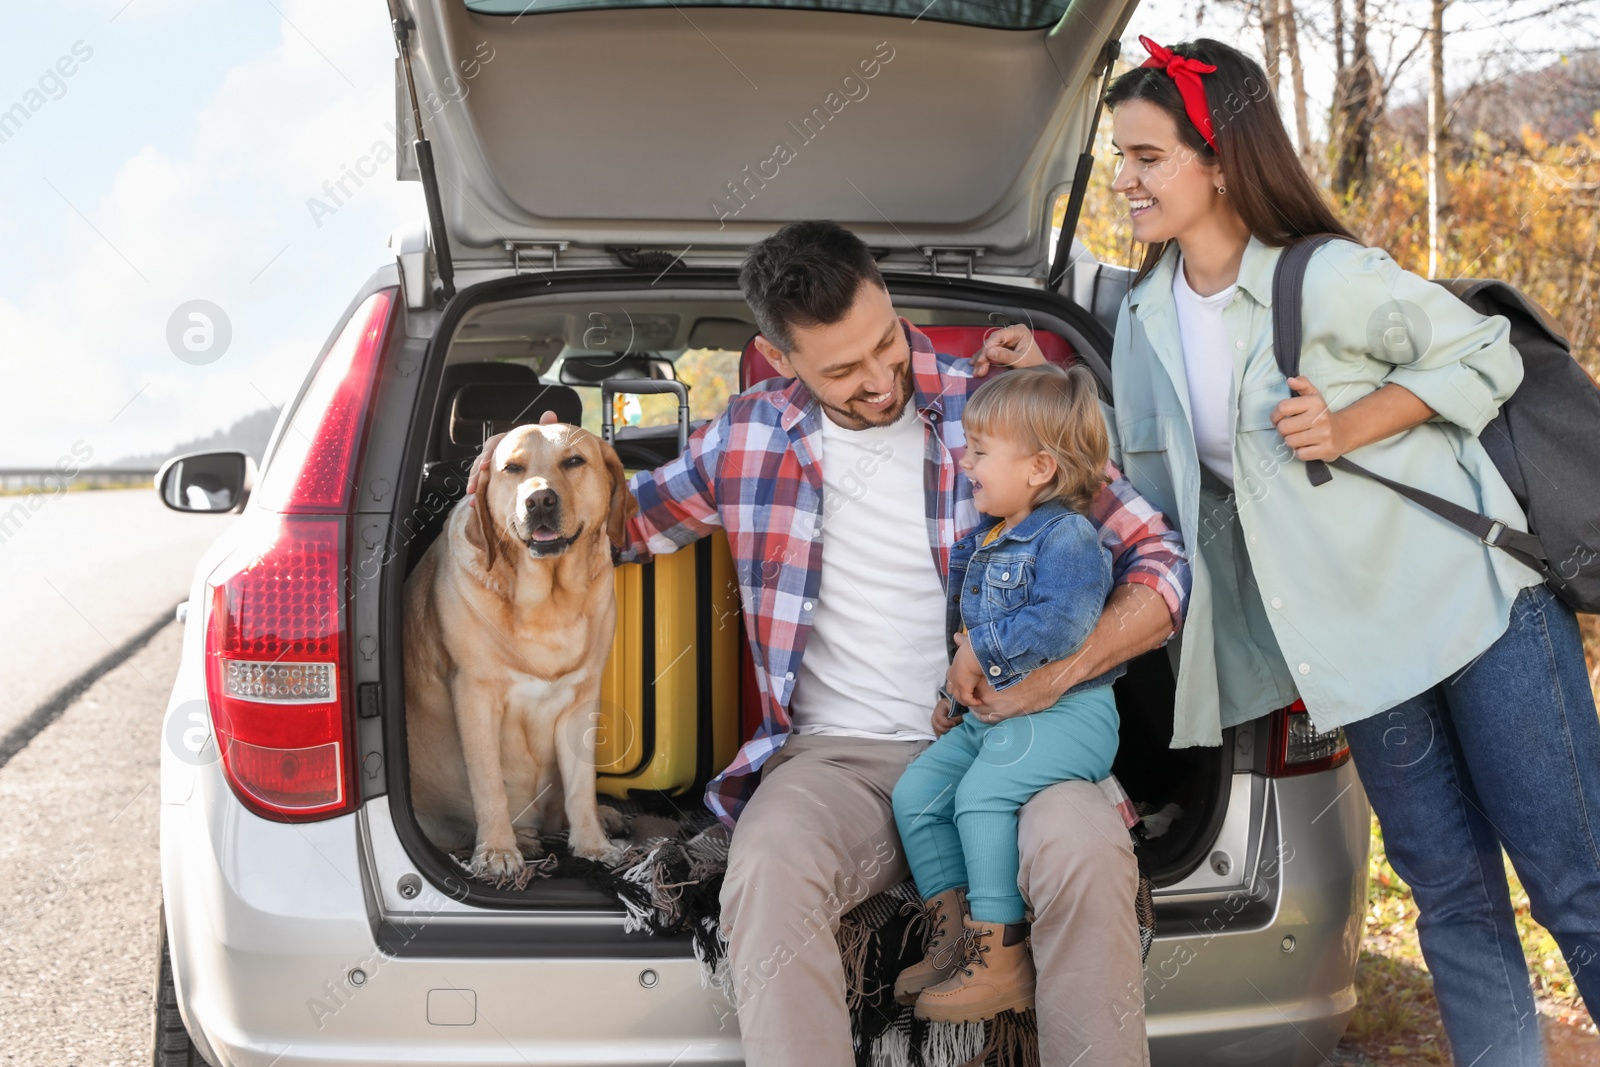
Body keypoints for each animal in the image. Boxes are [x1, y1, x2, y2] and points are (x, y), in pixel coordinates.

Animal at [400, 415, 636, 876]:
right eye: (512, 468)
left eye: (574, 461)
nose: (539, 500)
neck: (547, 603)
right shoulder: (475, 696)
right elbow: (488, 782)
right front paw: (497, 851)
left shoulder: (581, 701)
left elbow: (581, 787)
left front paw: (592, 845)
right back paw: (522, 838)